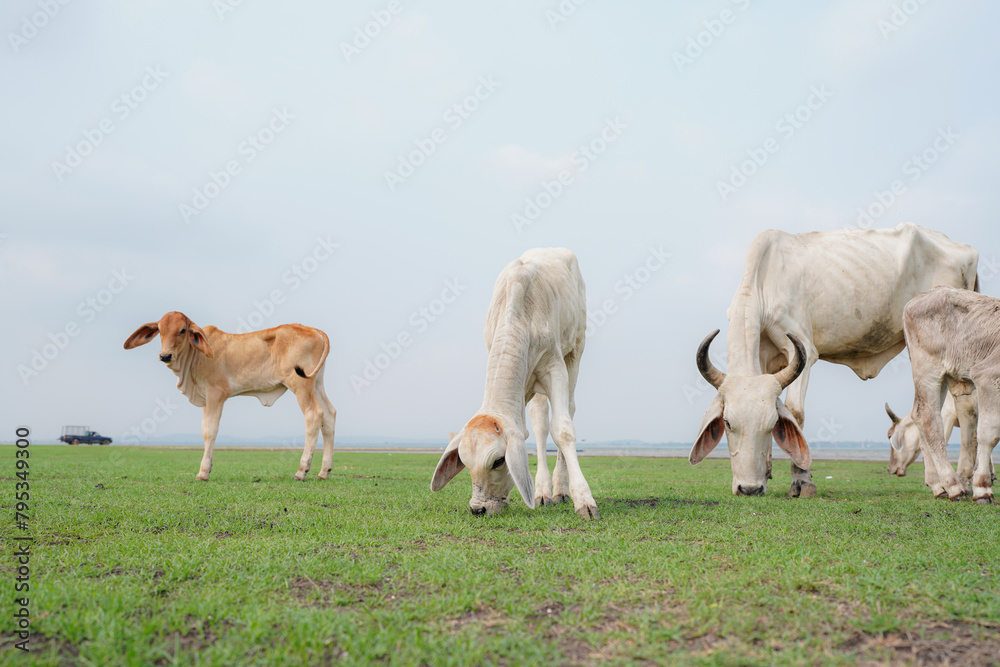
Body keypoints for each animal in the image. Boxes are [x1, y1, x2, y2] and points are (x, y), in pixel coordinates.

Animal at [124, 311, 336, 481]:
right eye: (160, 330)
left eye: (183, 330)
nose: (165, 355)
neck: (195, 357)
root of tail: (314, 330)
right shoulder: (205, 399)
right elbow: (204, 430)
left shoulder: (216, 393)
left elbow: (210, 430)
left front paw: (203, 473)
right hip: (316, 384)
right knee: (329, 415)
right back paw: (324, 471)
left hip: (300, 384)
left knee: (313, 416)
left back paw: (301, 471)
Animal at [430, 248, 598, 519]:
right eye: (464, 462)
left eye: (498, 461)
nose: (478, 509)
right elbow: (535, 429)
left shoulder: (554, 366)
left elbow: (563, 429)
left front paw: (584, 500)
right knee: (540, 421)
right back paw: (543, 491)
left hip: (576, 349)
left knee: (568, 410)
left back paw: (560, 490)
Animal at [691, 223, 978, 496]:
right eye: (728, 423)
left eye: (771, 424)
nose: (749, 488)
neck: (763, 284)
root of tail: (965, 248)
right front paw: (768, 471)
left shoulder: (803, 349)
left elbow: (795, 412)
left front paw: (802, 482)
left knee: (948, 408)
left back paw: (950, 482)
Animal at [903, 286, 1000, 503]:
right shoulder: (987, 375)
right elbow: (989, 434)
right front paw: (982, 487)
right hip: (927, 372)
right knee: (927, 418)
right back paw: (953, 486)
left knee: (919, 415)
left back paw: (938, 485)